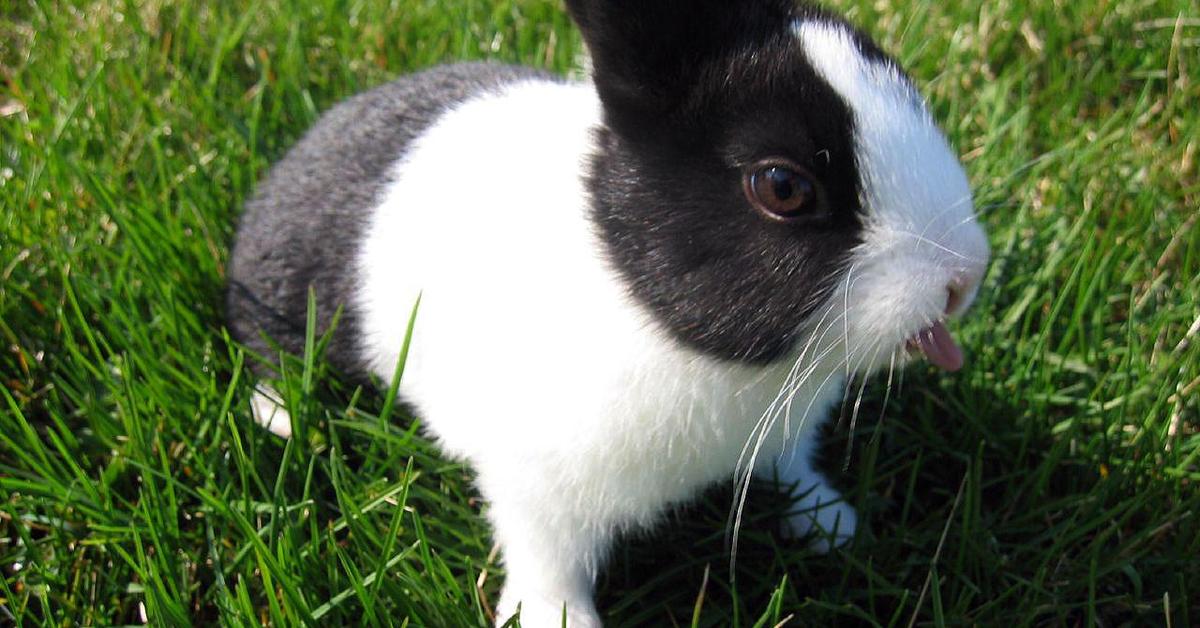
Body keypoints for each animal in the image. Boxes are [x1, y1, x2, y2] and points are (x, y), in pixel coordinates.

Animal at [225, 2, 984, 624]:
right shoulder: (536, 484)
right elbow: (545, 555)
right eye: (782, 186)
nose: (963, 279)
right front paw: (555, 619)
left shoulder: (783, 434)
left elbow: (790, 468)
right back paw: (286, 421)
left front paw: (831, 524)